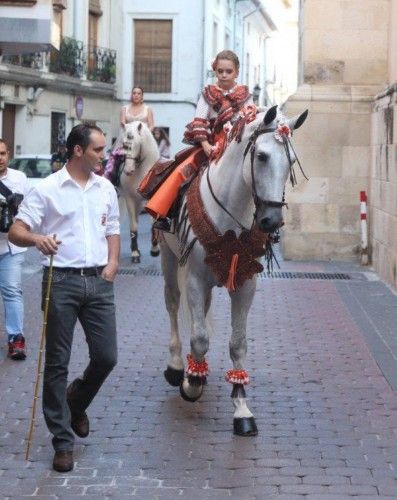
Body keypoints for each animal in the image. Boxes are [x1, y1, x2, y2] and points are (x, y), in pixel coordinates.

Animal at [116, 122, 161, 262]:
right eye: (123, 145)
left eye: (137, 143)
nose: (128, 170)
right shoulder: (130, 198)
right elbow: (133, 226)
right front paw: (135, 253)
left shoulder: (150, 199)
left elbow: (153, 224)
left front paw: (154, 250)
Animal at [159, 104, 308, 434]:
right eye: (261, 156)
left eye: (291, 161)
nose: (271, 221)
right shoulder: (194, 278)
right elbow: (199, 337)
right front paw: (191, 385)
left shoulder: (245, 282)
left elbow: (237, 344)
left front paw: (241, 408)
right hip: (169, 258)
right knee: (173, 305)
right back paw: (178, 366)